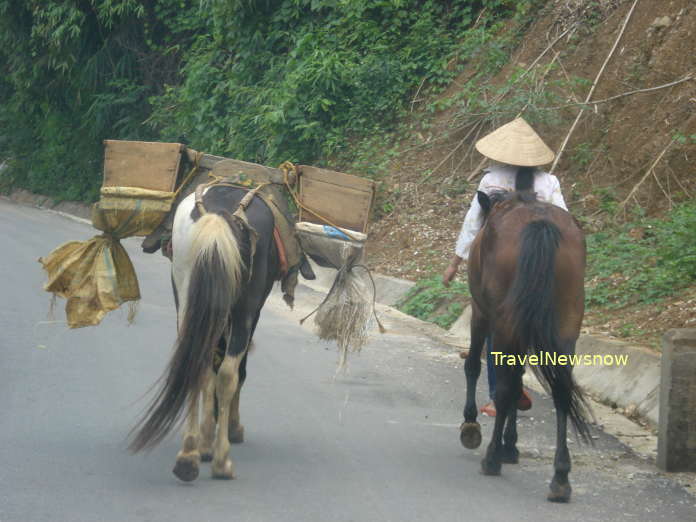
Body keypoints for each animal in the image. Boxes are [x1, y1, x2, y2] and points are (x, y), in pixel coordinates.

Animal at [460, 187, 588, 500]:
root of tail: (540, 224)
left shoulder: (481, 314)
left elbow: (474, 366)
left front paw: (471, 424)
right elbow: (518, 380)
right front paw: (511, 444)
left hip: (504, 325)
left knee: (505, 387)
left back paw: (491, 458)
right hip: (565, 325)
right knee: (561, 390)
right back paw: (560, 476)